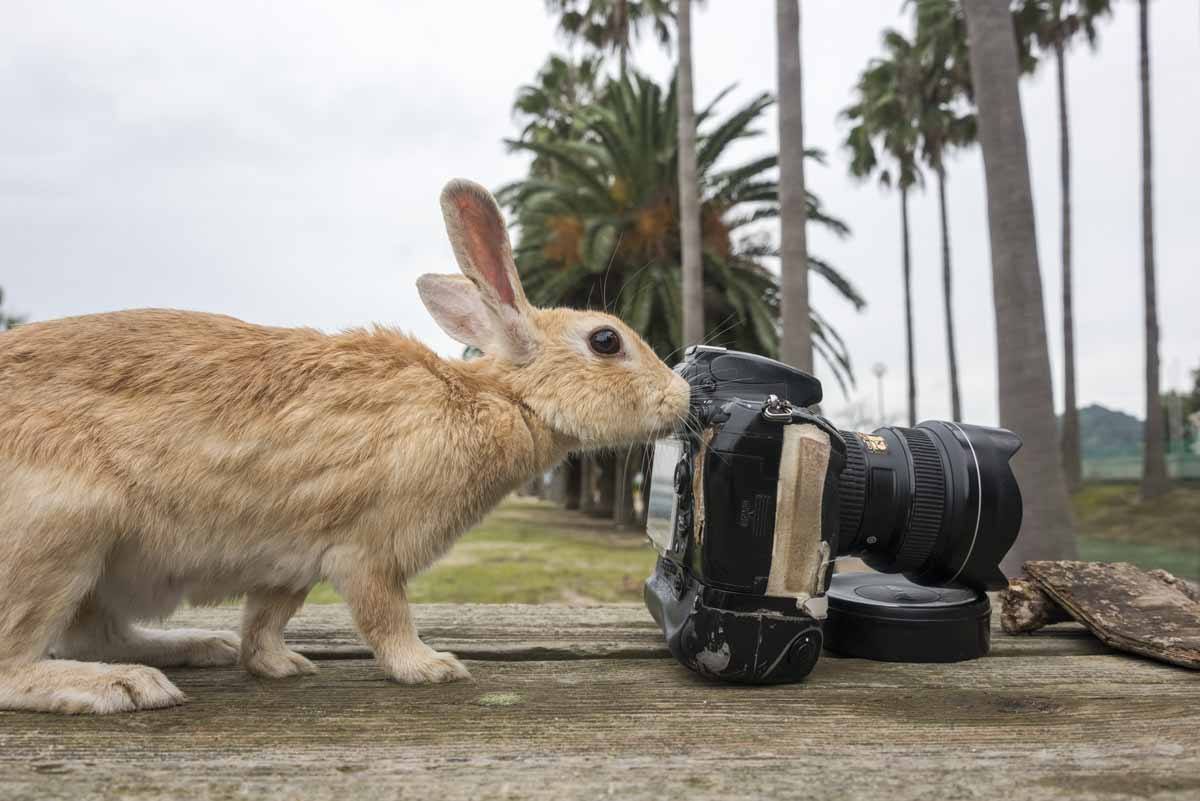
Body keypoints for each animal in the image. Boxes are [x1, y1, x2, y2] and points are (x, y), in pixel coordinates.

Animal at [0, 179, 696, 714]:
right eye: (606, 340)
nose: (682, 397)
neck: (499, 400)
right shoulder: (368, 551)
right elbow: (386, 617)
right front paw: (431, 667)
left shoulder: (291, 562)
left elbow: (265, 621)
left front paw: (278, 665)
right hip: (62, 530)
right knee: (17, 659)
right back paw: (124, 687)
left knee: (100, 633)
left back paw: (194, 648)